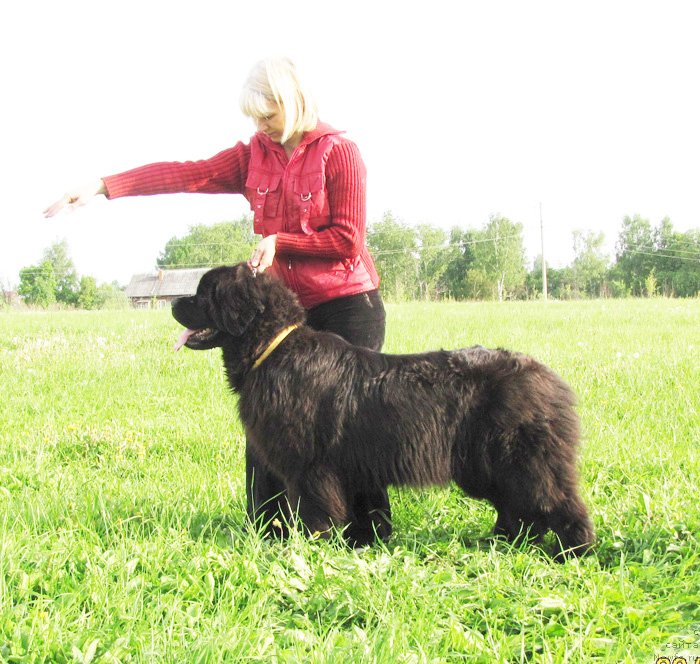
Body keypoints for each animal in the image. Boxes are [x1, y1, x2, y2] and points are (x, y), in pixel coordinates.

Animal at [172, 262, 592, 556]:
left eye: (203, 295)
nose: (174, 302)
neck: (272, 348)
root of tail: (548, 378)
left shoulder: (310, 468)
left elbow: (313, 511)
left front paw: (311, 547)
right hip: (485, 467)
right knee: (518, 509)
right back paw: (503, 543)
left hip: (522, 461)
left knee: (558, 502)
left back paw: (574, 552)